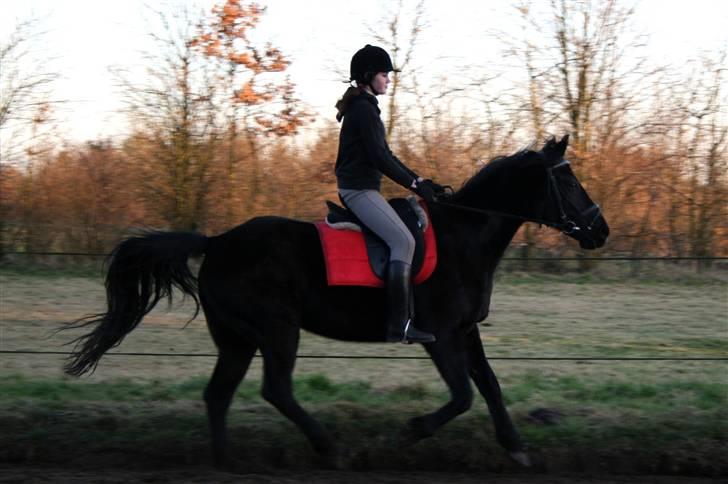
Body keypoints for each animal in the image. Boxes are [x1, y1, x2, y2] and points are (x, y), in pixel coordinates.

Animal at [64, 135, 608, 468]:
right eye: (568, 181)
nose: (600, 231)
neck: (464, 236)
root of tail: (216, 242)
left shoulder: (465, 332)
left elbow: (490, 387)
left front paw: (517, 450)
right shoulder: (438, 337)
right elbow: (462, 395)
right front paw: (407, 433)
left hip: (237, 338)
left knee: (219, 394)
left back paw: (224, 462)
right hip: (277, 330)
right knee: (275, 390)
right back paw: (330, 449)